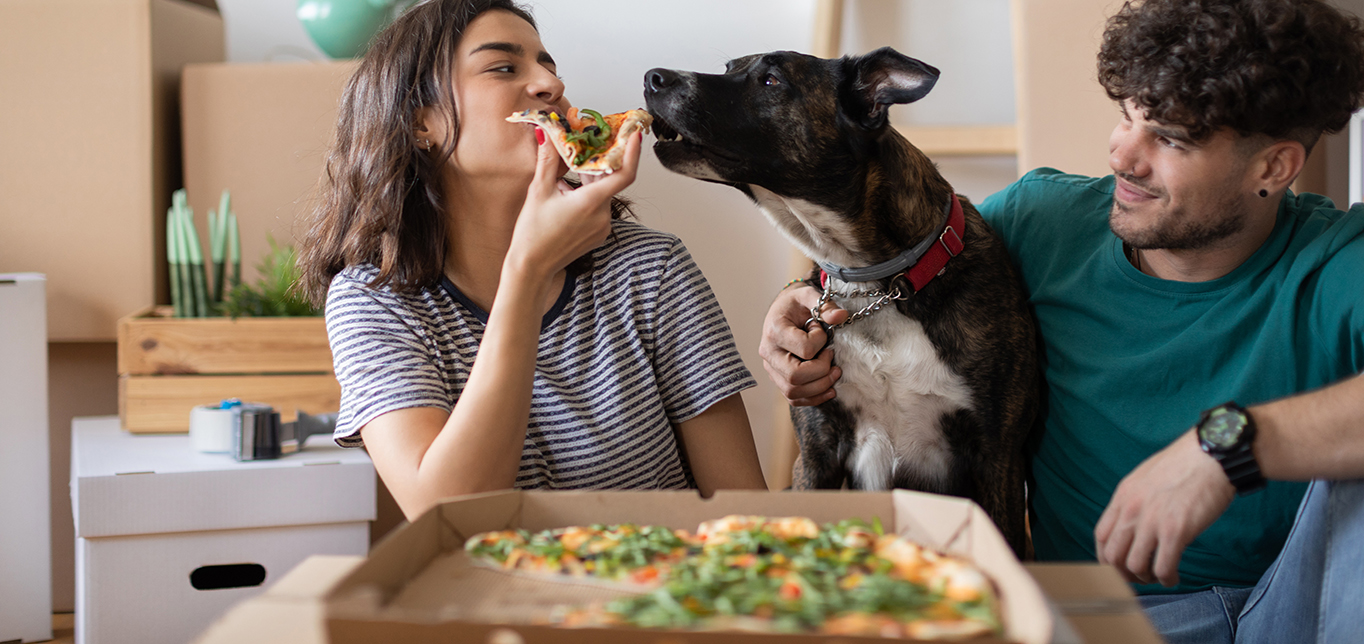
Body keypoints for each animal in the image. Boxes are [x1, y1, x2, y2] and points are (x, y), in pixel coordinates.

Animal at [643, 47, 1036, 556]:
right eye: (729, 68)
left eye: (771, 81)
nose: (653, 77)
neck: (877, 284)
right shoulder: (817, 451)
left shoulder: (997, 456)